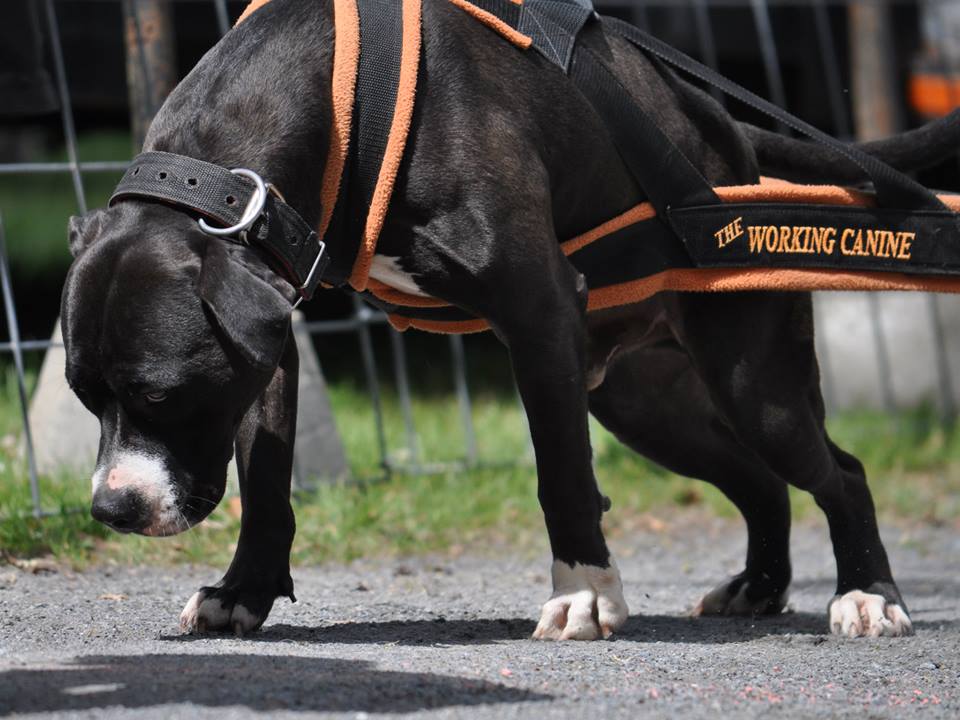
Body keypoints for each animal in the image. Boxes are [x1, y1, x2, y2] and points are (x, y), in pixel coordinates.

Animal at [63, 0, 956, 640]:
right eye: (84, 399)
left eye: (161, 395)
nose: (110, 511)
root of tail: (726, 132)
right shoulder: (268, 337)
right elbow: (267, 477)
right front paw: (242, 592)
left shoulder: (538, 314)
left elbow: (562, 473)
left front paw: (584, 598)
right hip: (646, 404)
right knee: (762, 481)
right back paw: (761, 588)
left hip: (751, 379)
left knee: (839, 472)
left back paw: (869, 596)